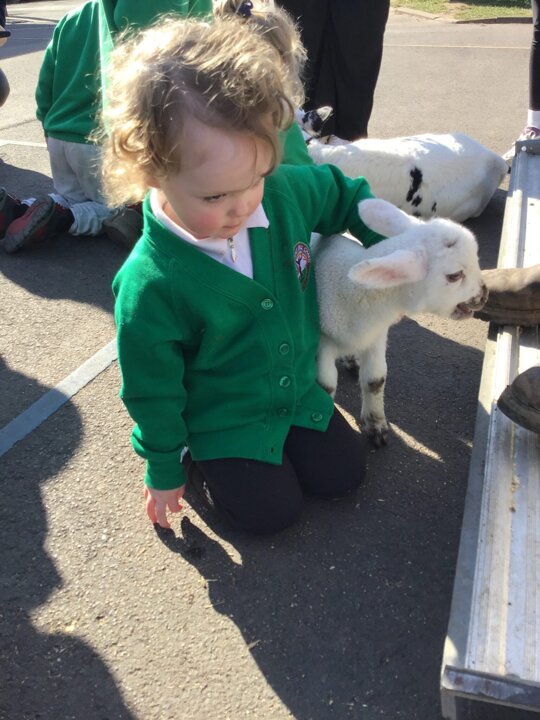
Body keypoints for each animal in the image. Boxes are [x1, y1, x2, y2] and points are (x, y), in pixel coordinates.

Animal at [313, 198, 488, 447]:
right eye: (455, 276)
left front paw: (376, 425)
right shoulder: (322, 342)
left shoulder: (377, 336)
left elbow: (375, 379)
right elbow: (326, 386)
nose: (484, 294)